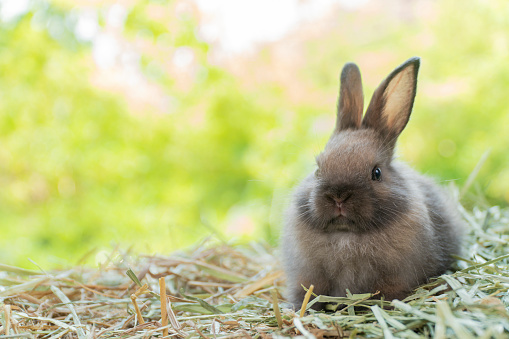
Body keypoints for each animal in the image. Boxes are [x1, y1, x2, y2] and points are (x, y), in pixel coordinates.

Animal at [282, 57, 464, 310]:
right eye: (318, 169)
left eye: (376, 173)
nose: (338, 196)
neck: (347, 235)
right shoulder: (308, 278)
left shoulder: (395, 279)